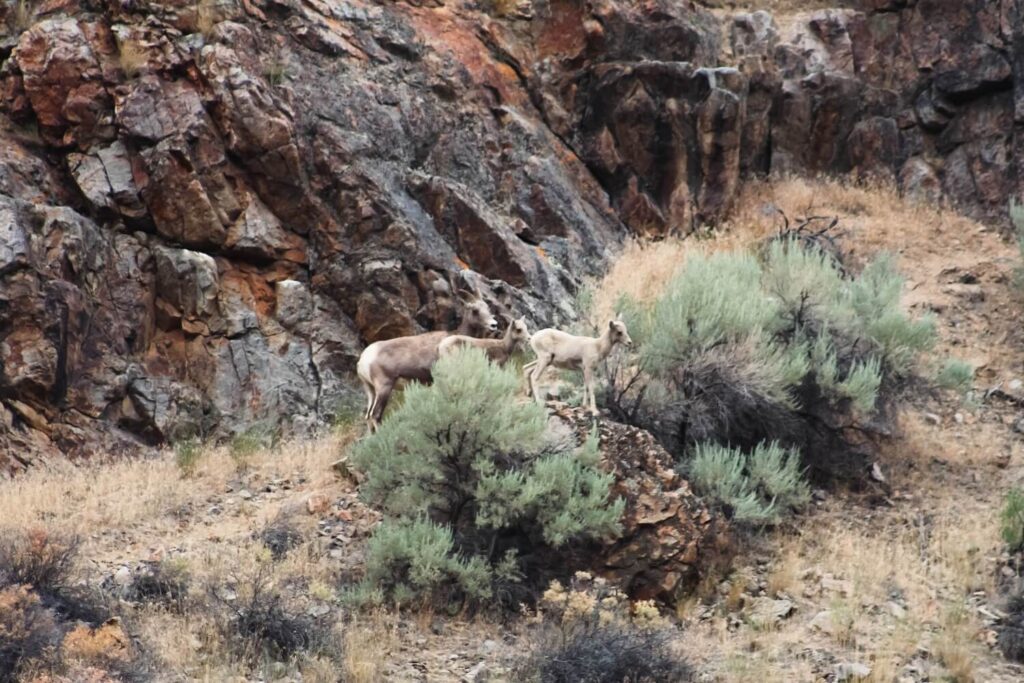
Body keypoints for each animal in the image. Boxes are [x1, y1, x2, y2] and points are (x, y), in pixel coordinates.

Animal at [357, 277, 498, 432]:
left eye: (488, 308)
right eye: (475, 310)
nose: (494, 325)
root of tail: (364, 359)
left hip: (371, 390)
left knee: (368, 416)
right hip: (384, 387)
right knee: (375, 415)